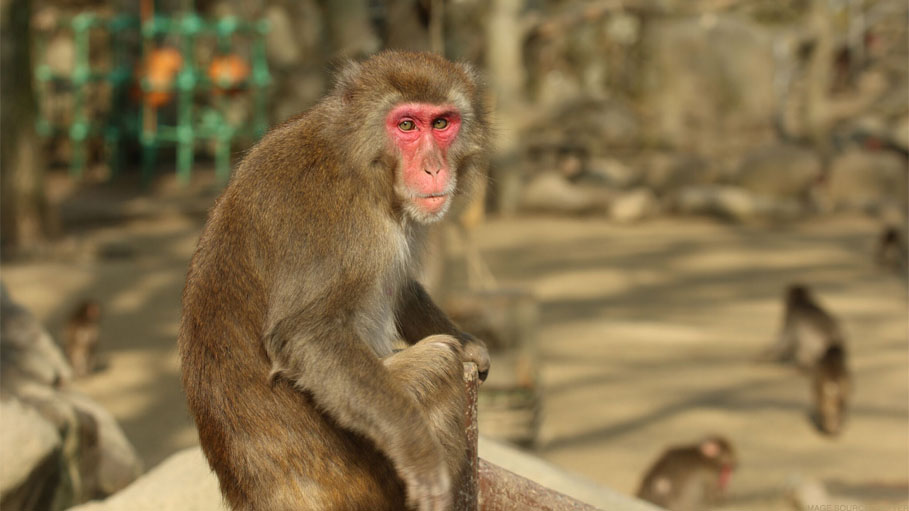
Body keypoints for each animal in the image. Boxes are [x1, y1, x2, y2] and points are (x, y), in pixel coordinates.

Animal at [178, 51, 491, 511]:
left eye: (441, 123)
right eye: (406, 126)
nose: (434, 168)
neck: (361, 162)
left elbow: (398, 287)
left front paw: (467, 341)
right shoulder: (331, 215)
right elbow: (307, 334)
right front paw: (417, 447)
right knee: (439, 364)